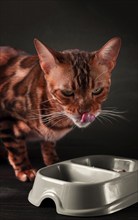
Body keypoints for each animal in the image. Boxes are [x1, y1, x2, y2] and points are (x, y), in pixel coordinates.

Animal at [0, 37, 121, 181]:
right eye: (67, 92)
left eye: (97, 91)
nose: (85, 112)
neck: (56, 119)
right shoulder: (6, 118)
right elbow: (17, 148)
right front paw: (25, 169)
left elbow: (49, 144)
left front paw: (53, 161)